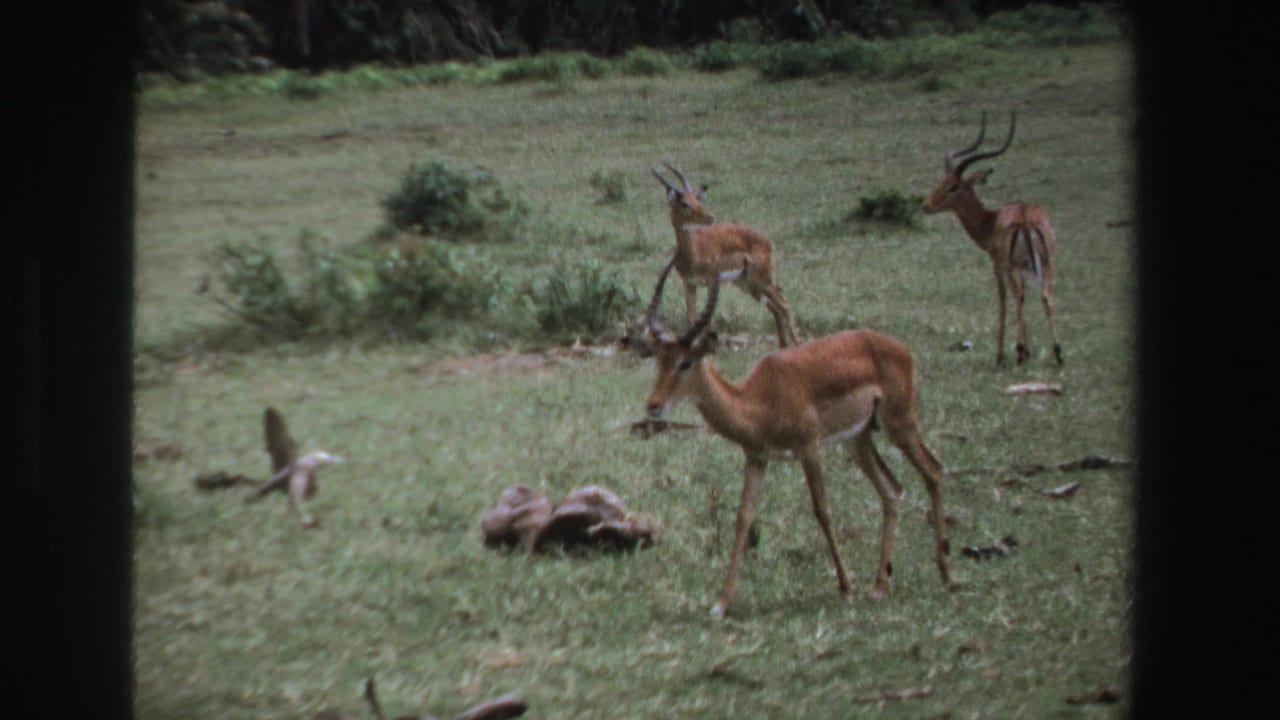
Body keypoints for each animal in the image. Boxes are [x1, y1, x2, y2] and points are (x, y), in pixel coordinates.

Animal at [637, 257, 952, 618]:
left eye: (685, 362)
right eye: (659, 360)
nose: (653, 405)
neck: (758, 401)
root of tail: (901, 348)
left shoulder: (808, 448)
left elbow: (822, 510)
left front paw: (846, 589)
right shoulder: (756, 458)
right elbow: (743, 518)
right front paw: (721, 602)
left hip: (900, 425)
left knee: (933, 471)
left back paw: (946, 573)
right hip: (858, 440)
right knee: (892, 489)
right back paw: (880, 585)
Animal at [650, 163, 800, 347]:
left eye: (697, 200)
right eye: (684, 203)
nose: (710, 217)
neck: (694, 253)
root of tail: (767, 241)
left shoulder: (710, 282)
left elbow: (705, 320)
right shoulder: (689, 283)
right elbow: (690, 318)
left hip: (761, 279)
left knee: (784, 304)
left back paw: (797, 343)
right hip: (746, 283)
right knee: (775, 307)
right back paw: (783, 345)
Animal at [922, 112, 1063, 366]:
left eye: (953, 186)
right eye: (941, 182)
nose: (926, 205)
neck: (991, 220)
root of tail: (1025, 219)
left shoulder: (998, 265)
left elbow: (1003, 301)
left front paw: (1002, 354)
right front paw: (1027, 350)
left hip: (1015, 266)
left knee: (1018, 297)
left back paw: (1018, 353)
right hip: (1047, 264)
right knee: (1045, 296)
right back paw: (1057, 353)